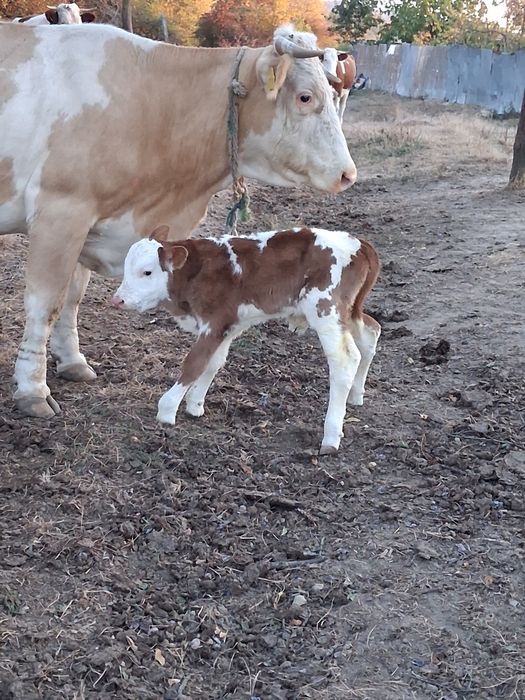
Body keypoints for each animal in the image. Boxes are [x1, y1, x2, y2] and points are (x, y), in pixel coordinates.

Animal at [0, 23, 358, 419]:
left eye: (332, 93)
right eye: (306, 97)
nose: (348, 174)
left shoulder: (89, 221)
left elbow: (73, 298)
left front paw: (73, 362)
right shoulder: (61, 213)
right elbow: (45, 304)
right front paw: (32, 389)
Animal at [111, 226, 381, 455]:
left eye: (147, 272)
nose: (118, 300)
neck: (196, 270)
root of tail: (360, 244)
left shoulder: (213, 321)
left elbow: (194, 363)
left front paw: (167, 410)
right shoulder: (227, 325)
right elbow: (213, 362)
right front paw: (195, 405)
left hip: (327, 310)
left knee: (345, 361)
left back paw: (331, 435)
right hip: (350, 312)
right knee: (371, 332)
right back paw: (356, 394)